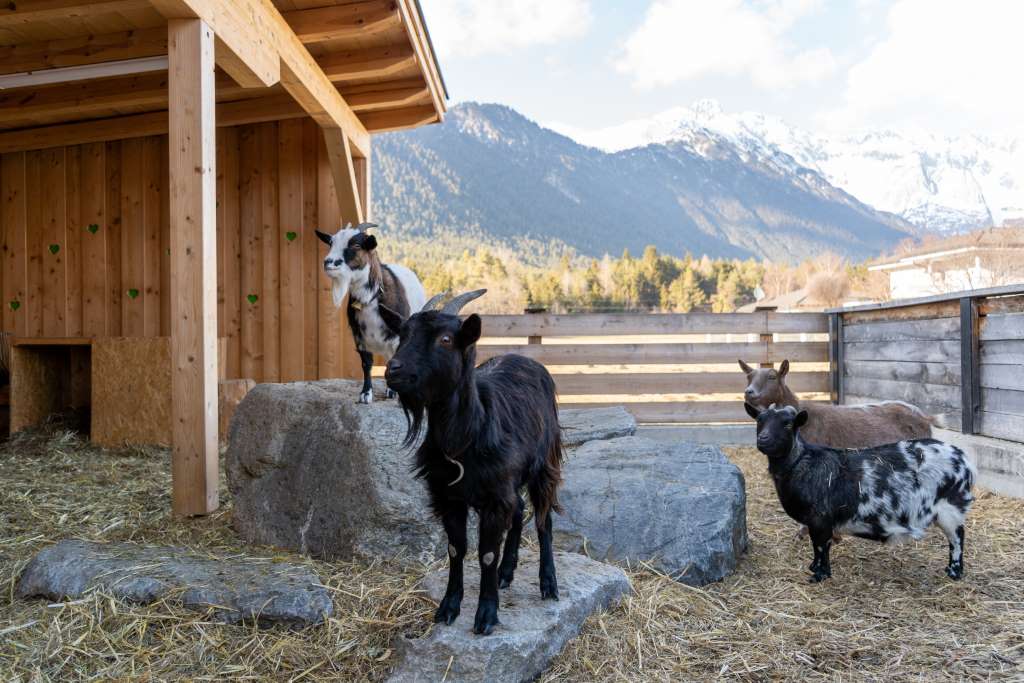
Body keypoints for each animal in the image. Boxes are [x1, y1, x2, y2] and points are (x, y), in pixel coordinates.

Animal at [311, 224, 423, 403]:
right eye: (331, 243)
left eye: (357, 245)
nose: (328, 262)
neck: (371, 298)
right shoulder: (359, 337)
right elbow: (366, 364)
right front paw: (365, 394)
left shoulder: (398, 335)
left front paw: (393, 391)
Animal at [382, 290, 565, 638]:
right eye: (403, 334)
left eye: (445, 339)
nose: (392, 369)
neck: (464, 439)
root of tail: (528, 360)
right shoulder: (449, 496)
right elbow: (457, 549)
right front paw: (448, 608)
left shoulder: (494, 498)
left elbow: (487, 554)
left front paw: (487, 615)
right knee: (519, 511)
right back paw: (507, 573)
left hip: (544, 465)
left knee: (543, 520)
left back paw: (548, 583)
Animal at [749, 403, 978, 585]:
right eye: (759, 421)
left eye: (788, 424)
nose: (763, 439)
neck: (800, 463)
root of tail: (965, 461)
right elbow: (820, 547)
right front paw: (816, 569)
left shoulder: (820, 519)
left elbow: (821, 546)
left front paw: (819, 576)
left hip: (950, 508)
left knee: (958, 538)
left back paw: (954, 572)